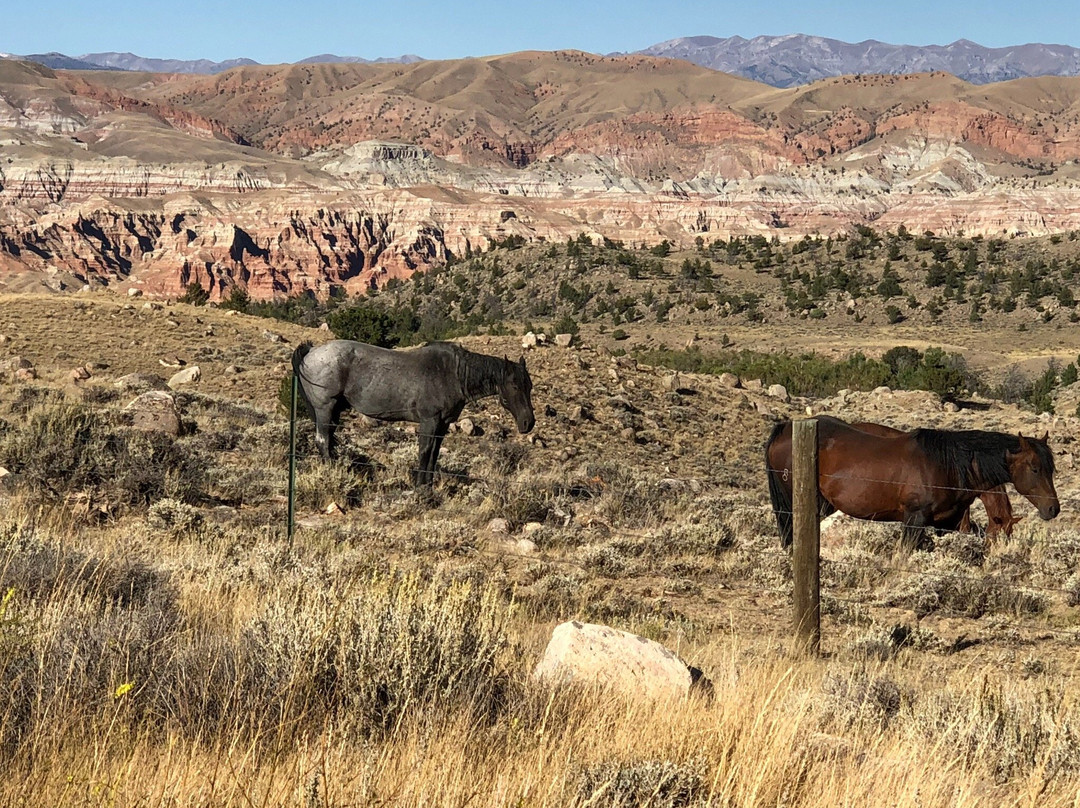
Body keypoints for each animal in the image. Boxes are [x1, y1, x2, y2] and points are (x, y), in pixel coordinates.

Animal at [291, 337, 535, 483]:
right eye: (515, 386)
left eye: (530, 386)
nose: (528, 423)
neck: (454, 373)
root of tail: (312, 350)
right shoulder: (429, 422)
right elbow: (424, 452)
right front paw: (420, 488)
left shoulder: (442, 425)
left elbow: (434, 455)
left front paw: (428, 486)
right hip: (325, 409)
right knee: (323, 441)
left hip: (334, 411)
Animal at [764, 416, 1058, 548]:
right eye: (1035, 468)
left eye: (1051, 469)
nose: (1053, 509)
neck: (947, 465)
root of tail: (787, 428)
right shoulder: (914, 520)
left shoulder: (947, 523)